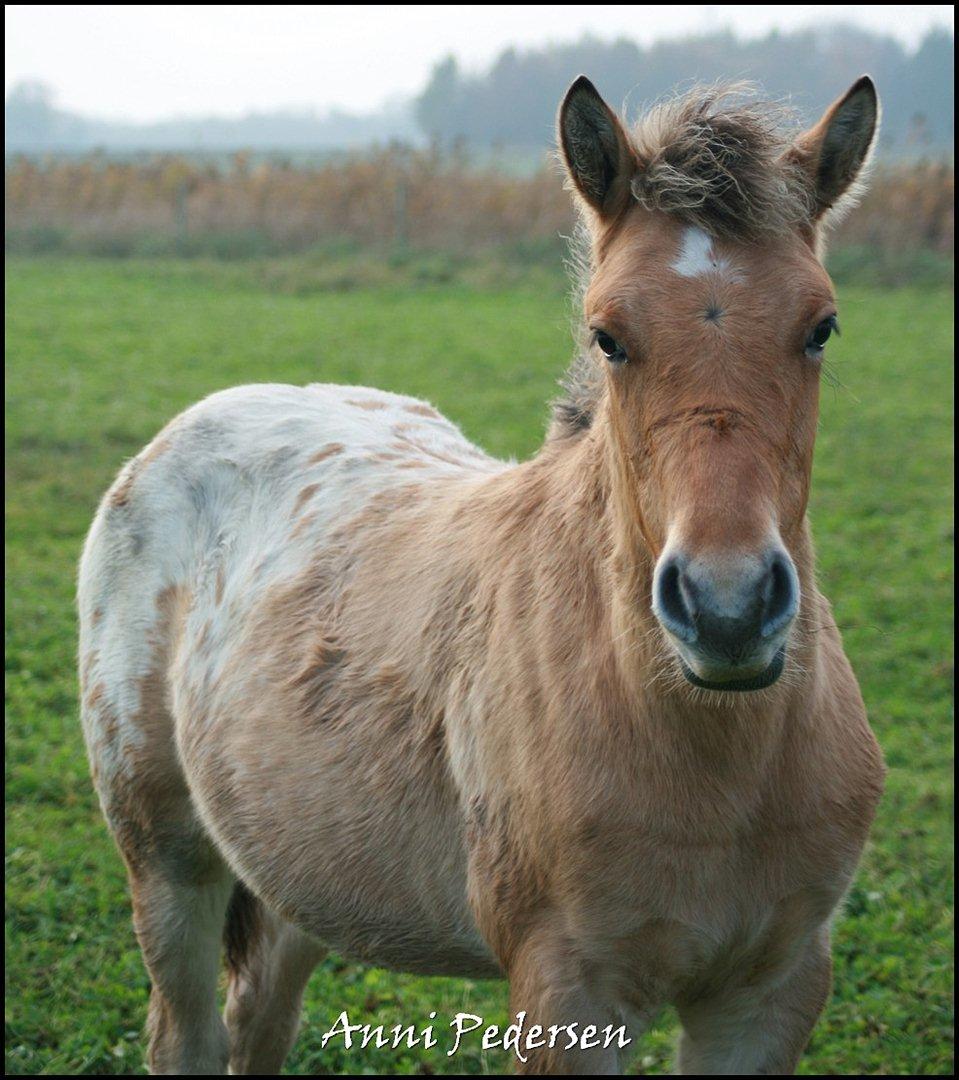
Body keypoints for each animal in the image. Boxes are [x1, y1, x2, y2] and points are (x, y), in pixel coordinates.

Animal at [80, 78, 885, 1071]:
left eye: (821, 327)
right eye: (607, 336)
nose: (725, 607)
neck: (713, 763)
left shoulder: (771, 991)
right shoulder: (566, 990)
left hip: (297, 862)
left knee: (258, 1014)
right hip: (166, 854)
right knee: (185, 1029)